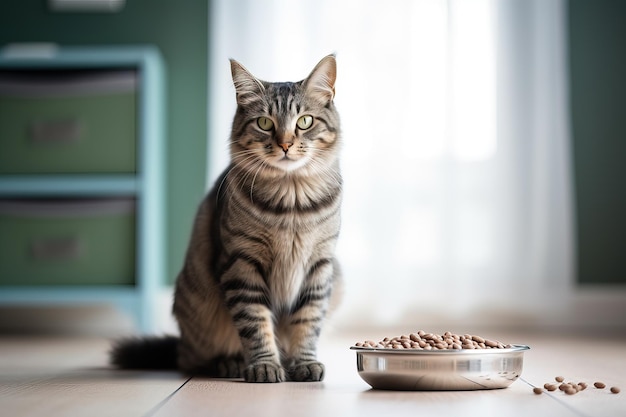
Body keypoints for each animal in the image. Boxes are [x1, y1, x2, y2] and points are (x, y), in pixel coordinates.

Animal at [108, 56, 342, 384]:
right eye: (265, 123)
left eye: (305, 121)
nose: (285, 144)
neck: (292, 204)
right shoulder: (242, 263)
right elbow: (256, 323)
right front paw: (265, 366)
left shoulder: (319, 265)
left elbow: (307, 323)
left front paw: (304, 363)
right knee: (191, 359)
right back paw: (230, 363)